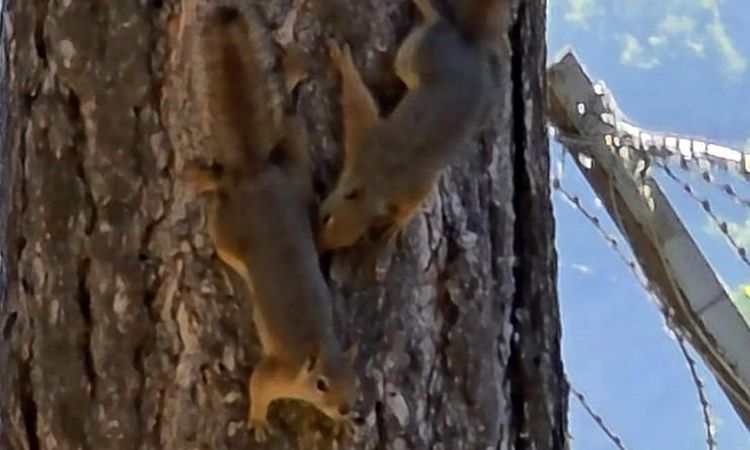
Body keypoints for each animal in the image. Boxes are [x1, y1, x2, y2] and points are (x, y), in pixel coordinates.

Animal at [185, 5, 358, 441]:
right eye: (322, 384)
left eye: (355, 381)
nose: (347, 409)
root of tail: (256, 176)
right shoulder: (276, 371)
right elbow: (258, 385)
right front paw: (259, 421)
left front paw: (344, 427)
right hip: (227, 234)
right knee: (221, 201)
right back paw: (203, 179)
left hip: (297, 174)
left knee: (289, 124)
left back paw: (294, 70)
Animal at [318, 0, 510, 251]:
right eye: (326, 218)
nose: (319, 245)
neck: (380, 179)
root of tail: (468, 47)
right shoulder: (378, 153)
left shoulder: (380, 154)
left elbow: (358, 104)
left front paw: (398, 223)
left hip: (418, 57)